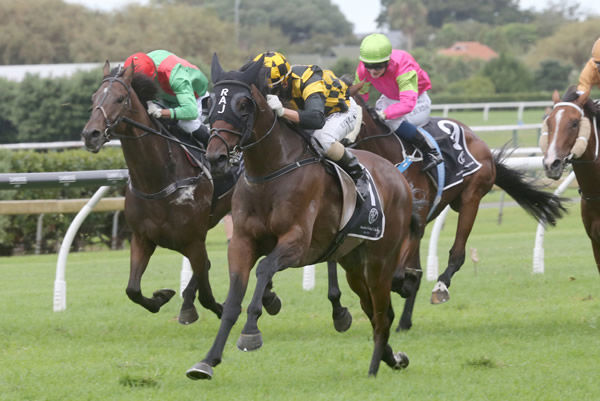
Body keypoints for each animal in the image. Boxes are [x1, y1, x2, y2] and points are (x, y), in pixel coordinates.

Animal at [79, 62, 230, 324]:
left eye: (120, 98)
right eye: (94, 97)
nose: (91, 135)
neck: (158, 180)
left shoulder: (194, 240)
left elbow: (207, 293)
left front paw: (223, 310)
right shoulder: (142, 238)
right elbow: (132, 290)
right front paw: (162, 297)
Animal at [186, 55, 418, 378]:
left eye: (243, 104)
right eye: (211, 103)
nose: (216, 158)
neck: (270, 172)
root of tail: (399, 177)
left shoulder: (297, 244)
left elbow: (264, 269)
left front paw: (251, 332)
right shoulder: (242, 242)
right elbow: (233, 301)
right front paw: (207, 361)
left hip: (380, 261)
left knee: (383, 314)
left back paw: (374, 369)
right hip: (353, 264)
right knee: (373, 311)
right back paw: (392, 358)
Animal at [332, 92, 568, 330]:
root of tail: (478, 140)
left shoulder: (411, 220)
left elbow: (398, 272)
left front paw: (400, 285)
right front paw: (341, 308)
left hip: (471, 198)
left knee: (457, 253)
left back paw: (438, 287)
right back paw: (404, 319)